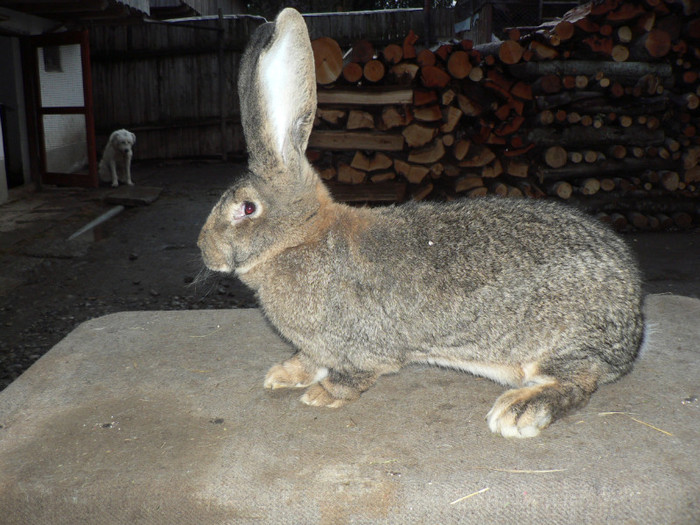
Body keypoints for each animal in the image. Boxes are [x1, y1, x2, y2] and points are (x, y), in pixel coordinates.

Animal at [198, 8, 644, 436]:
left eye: (247, 209)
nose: (205, 251)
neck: (301, 239)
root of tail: (635, 324)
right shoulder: (319, 346)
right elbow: (310, 358)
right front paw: (284, 373)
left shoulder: (363, 348)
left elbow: (355, 375)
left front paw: (322, 395)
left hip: (563, 343)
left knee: (578, 380)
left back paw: (518, 411)